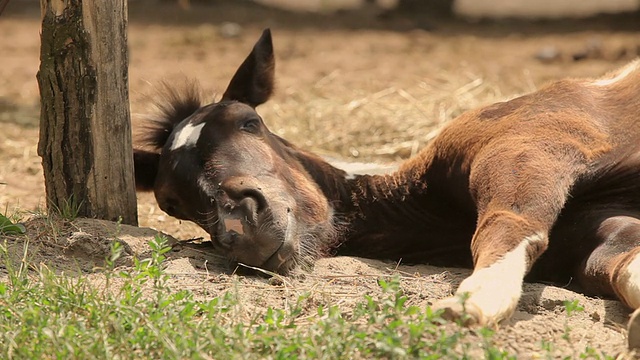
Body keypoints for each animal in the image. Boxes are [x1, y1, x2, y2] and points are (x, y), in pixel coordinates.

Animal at [132, 28, 640, 326]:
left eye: (248, 122)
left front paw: (469, 305)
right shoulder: (599, 227)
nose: (240, 224)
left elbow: (510, 225)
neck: (427, 203)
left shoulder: (530, 146)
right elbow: (621, 264)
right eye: (170, 203)